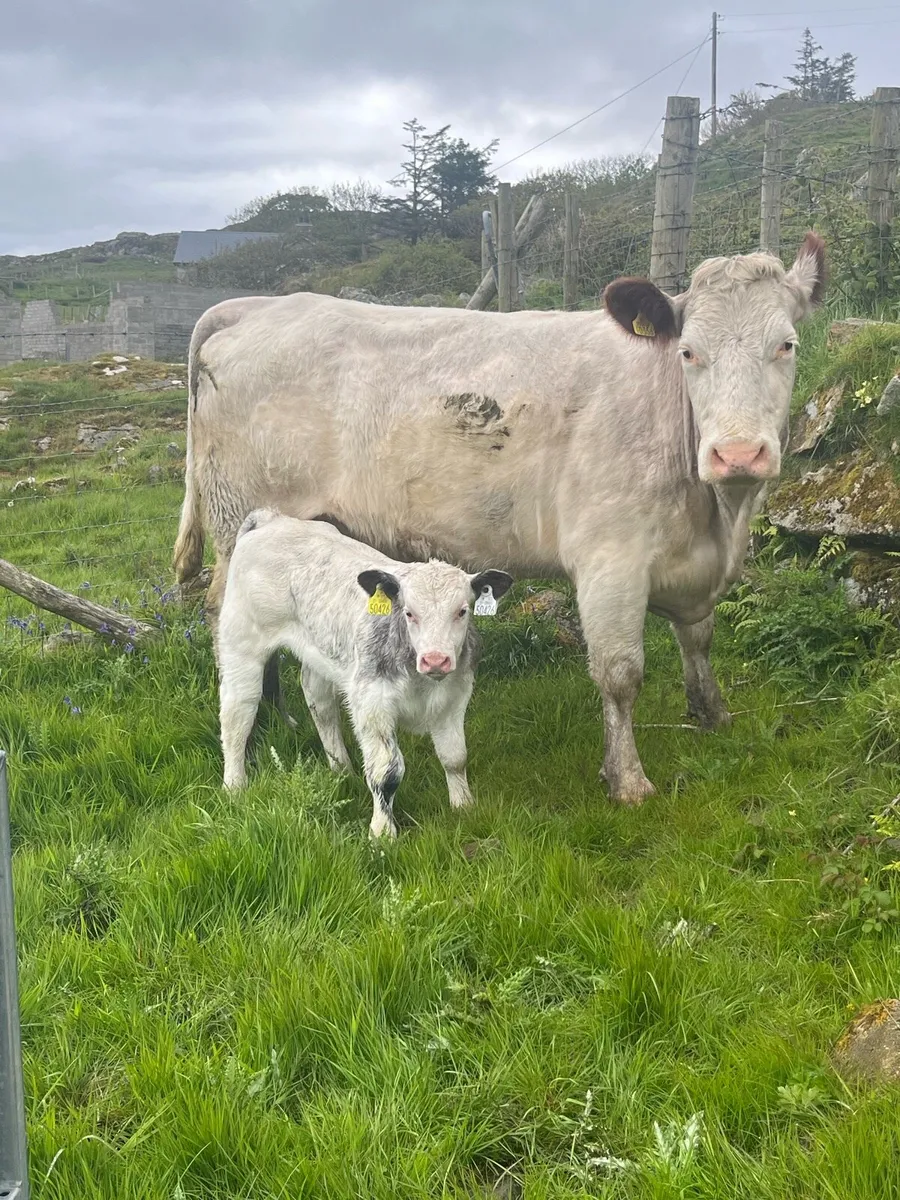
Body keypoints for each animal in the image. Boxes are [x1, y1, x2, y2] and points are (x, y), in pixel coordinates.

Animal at [217, 509, 513, 837]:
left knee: (319, 701)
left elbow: (455, 757)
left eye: (462, 611)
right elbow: (387, 770)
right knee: (237, 713)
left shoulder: (454, 698)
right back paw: (234, 786)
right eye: (409, 612)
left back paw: (341, 769)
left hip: (320, 651)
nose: (435, 660)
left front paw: (463, 806)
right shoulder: (372, 703)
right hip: (242, 642)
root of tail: (271, 518)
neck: (421, 680)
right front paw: (382, 832)